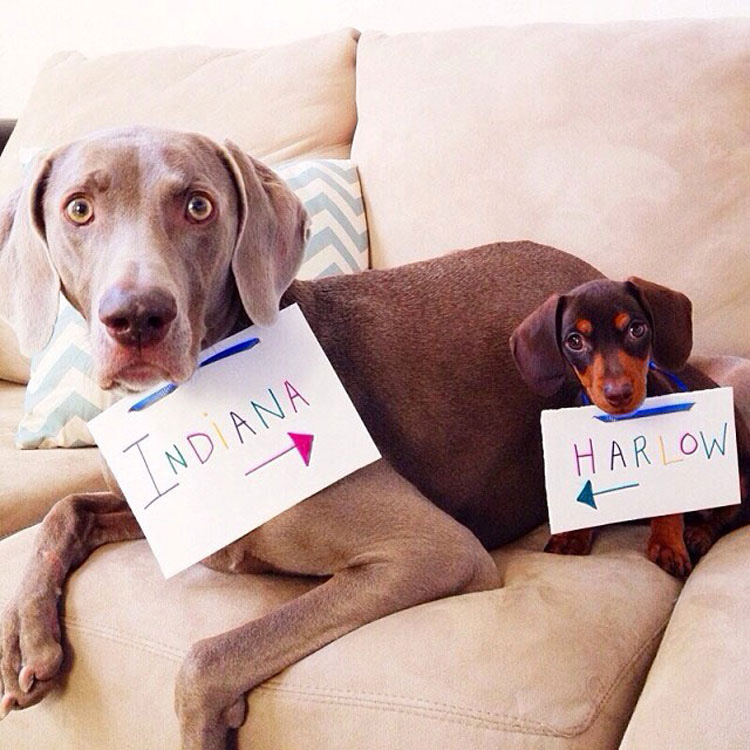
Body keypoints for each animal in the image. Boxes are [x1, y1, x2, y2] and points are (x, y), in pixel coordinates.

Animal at [0, 126, 600, 748]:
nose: (136, 318)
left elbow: (205, 660)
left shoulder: (436, 550)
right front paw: (25, 640)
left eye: (198, 206)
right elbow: (63, 510)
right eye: (78, 209)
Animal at [512, 280, 750, 580]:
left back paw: (699, 535)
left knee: (728, 514)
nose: (619, 393)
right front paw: (572, 536)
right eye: (574, 341)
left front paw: (667, 545)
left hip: (739, 477)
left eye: (637, 329)